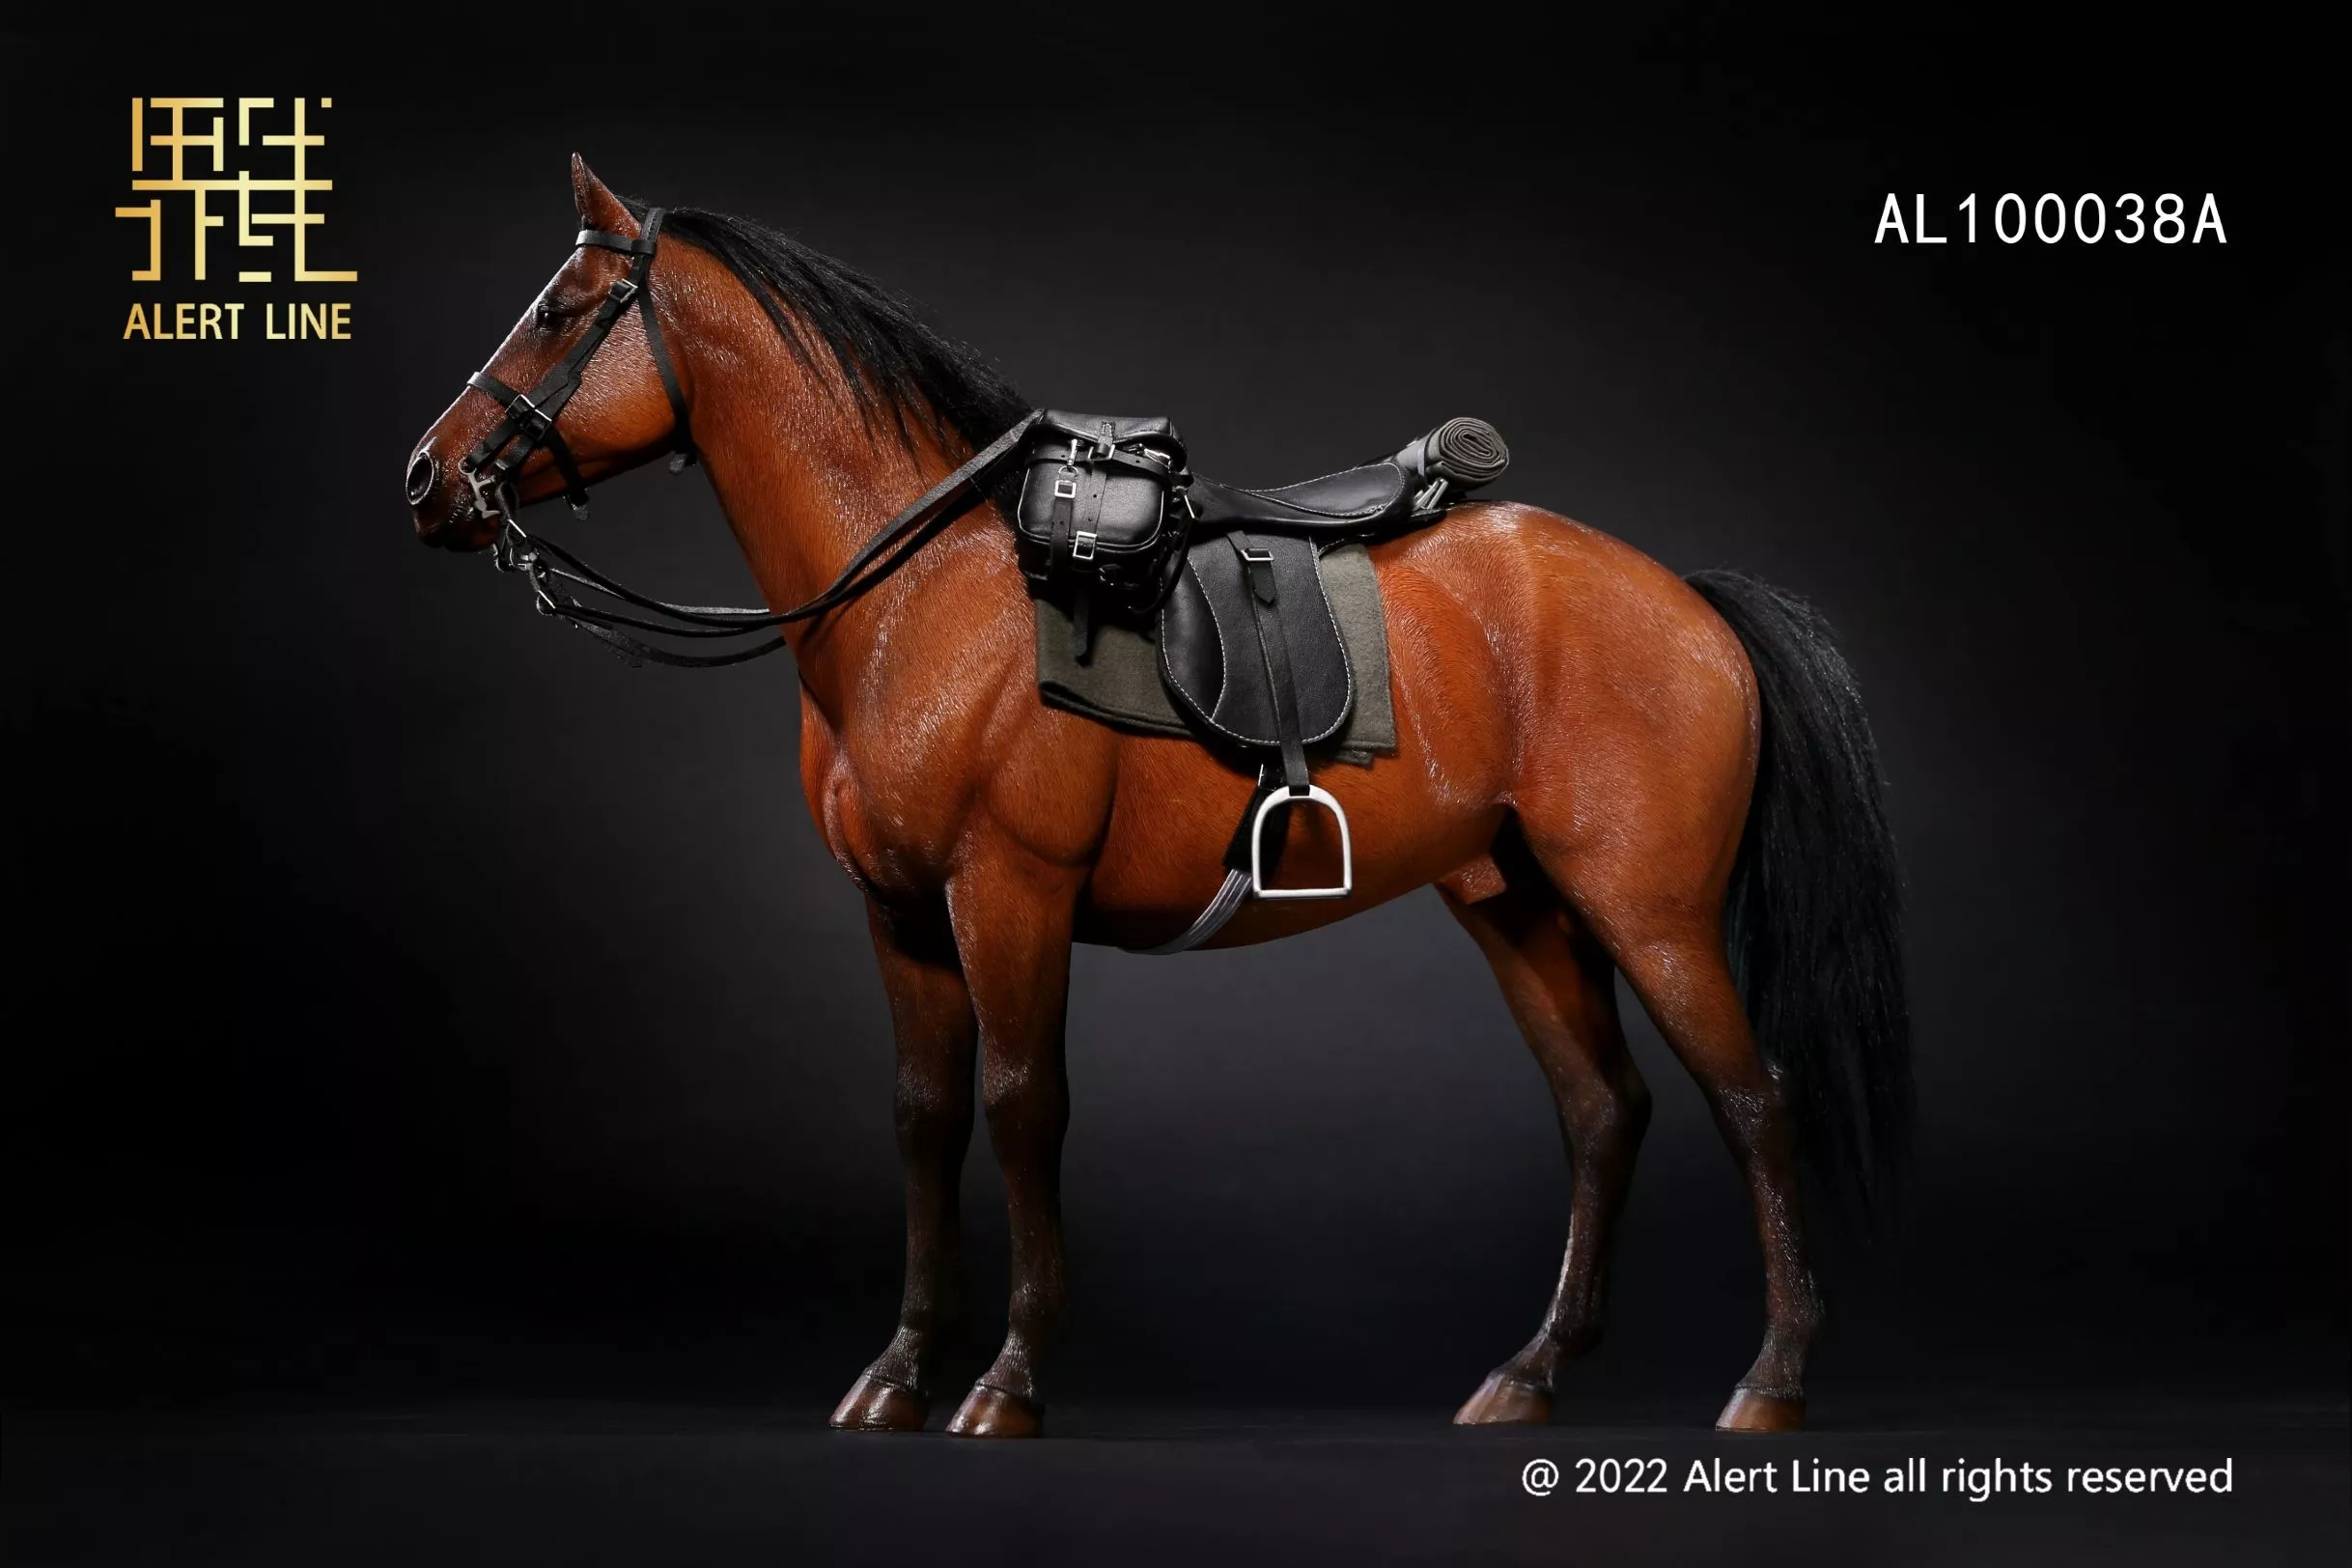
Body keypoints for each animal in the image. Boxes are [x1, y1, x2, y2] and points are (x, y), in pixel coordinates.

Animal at [405, 156, 1911, 1437]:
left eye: (560, 310)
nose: (428, 477)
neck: (922, 595)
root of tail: (1689, 602)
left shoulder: (1006, 896)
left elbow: (1023, 1105)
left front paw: (1009, 1378)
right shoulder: (899, 914)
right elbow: (922, 1115)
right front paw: (900, 1371)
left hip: (1647, 911)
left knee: (1754, 1100)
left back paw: (1772, 1378)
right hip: (1518, 905)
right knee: (1605, 1111)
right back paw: (1532, 1371)